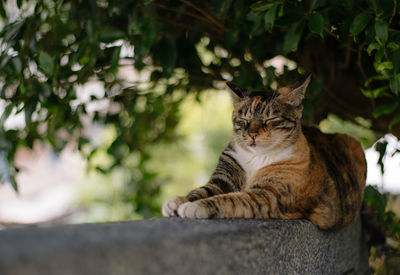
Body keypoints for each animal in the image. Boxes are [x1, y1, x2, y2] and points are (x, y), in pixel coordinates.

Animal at [161, 74, 368, 231]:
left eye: (271, 119)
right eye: (243, 120)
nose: (252, 133)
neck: (257, 158)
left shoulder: (268, 194)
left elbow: (232, 199)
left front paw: (194, 206)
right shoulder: (224, 178)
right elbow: (204, 190)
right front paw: (176, 202)